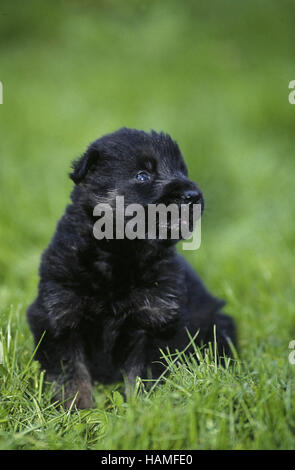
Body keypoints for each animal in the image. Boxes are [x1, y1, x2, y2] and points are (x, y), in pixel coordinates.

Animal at [27, 127, 236, 408]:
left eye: (182, 171)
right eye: (142, 175)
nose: (193, 196)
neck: (119, 254)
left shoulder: (155, 322)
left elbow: (143, 374)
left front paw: (141, 408)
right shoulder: (59, 316)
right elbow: (70, 371)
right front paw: (78, 409)